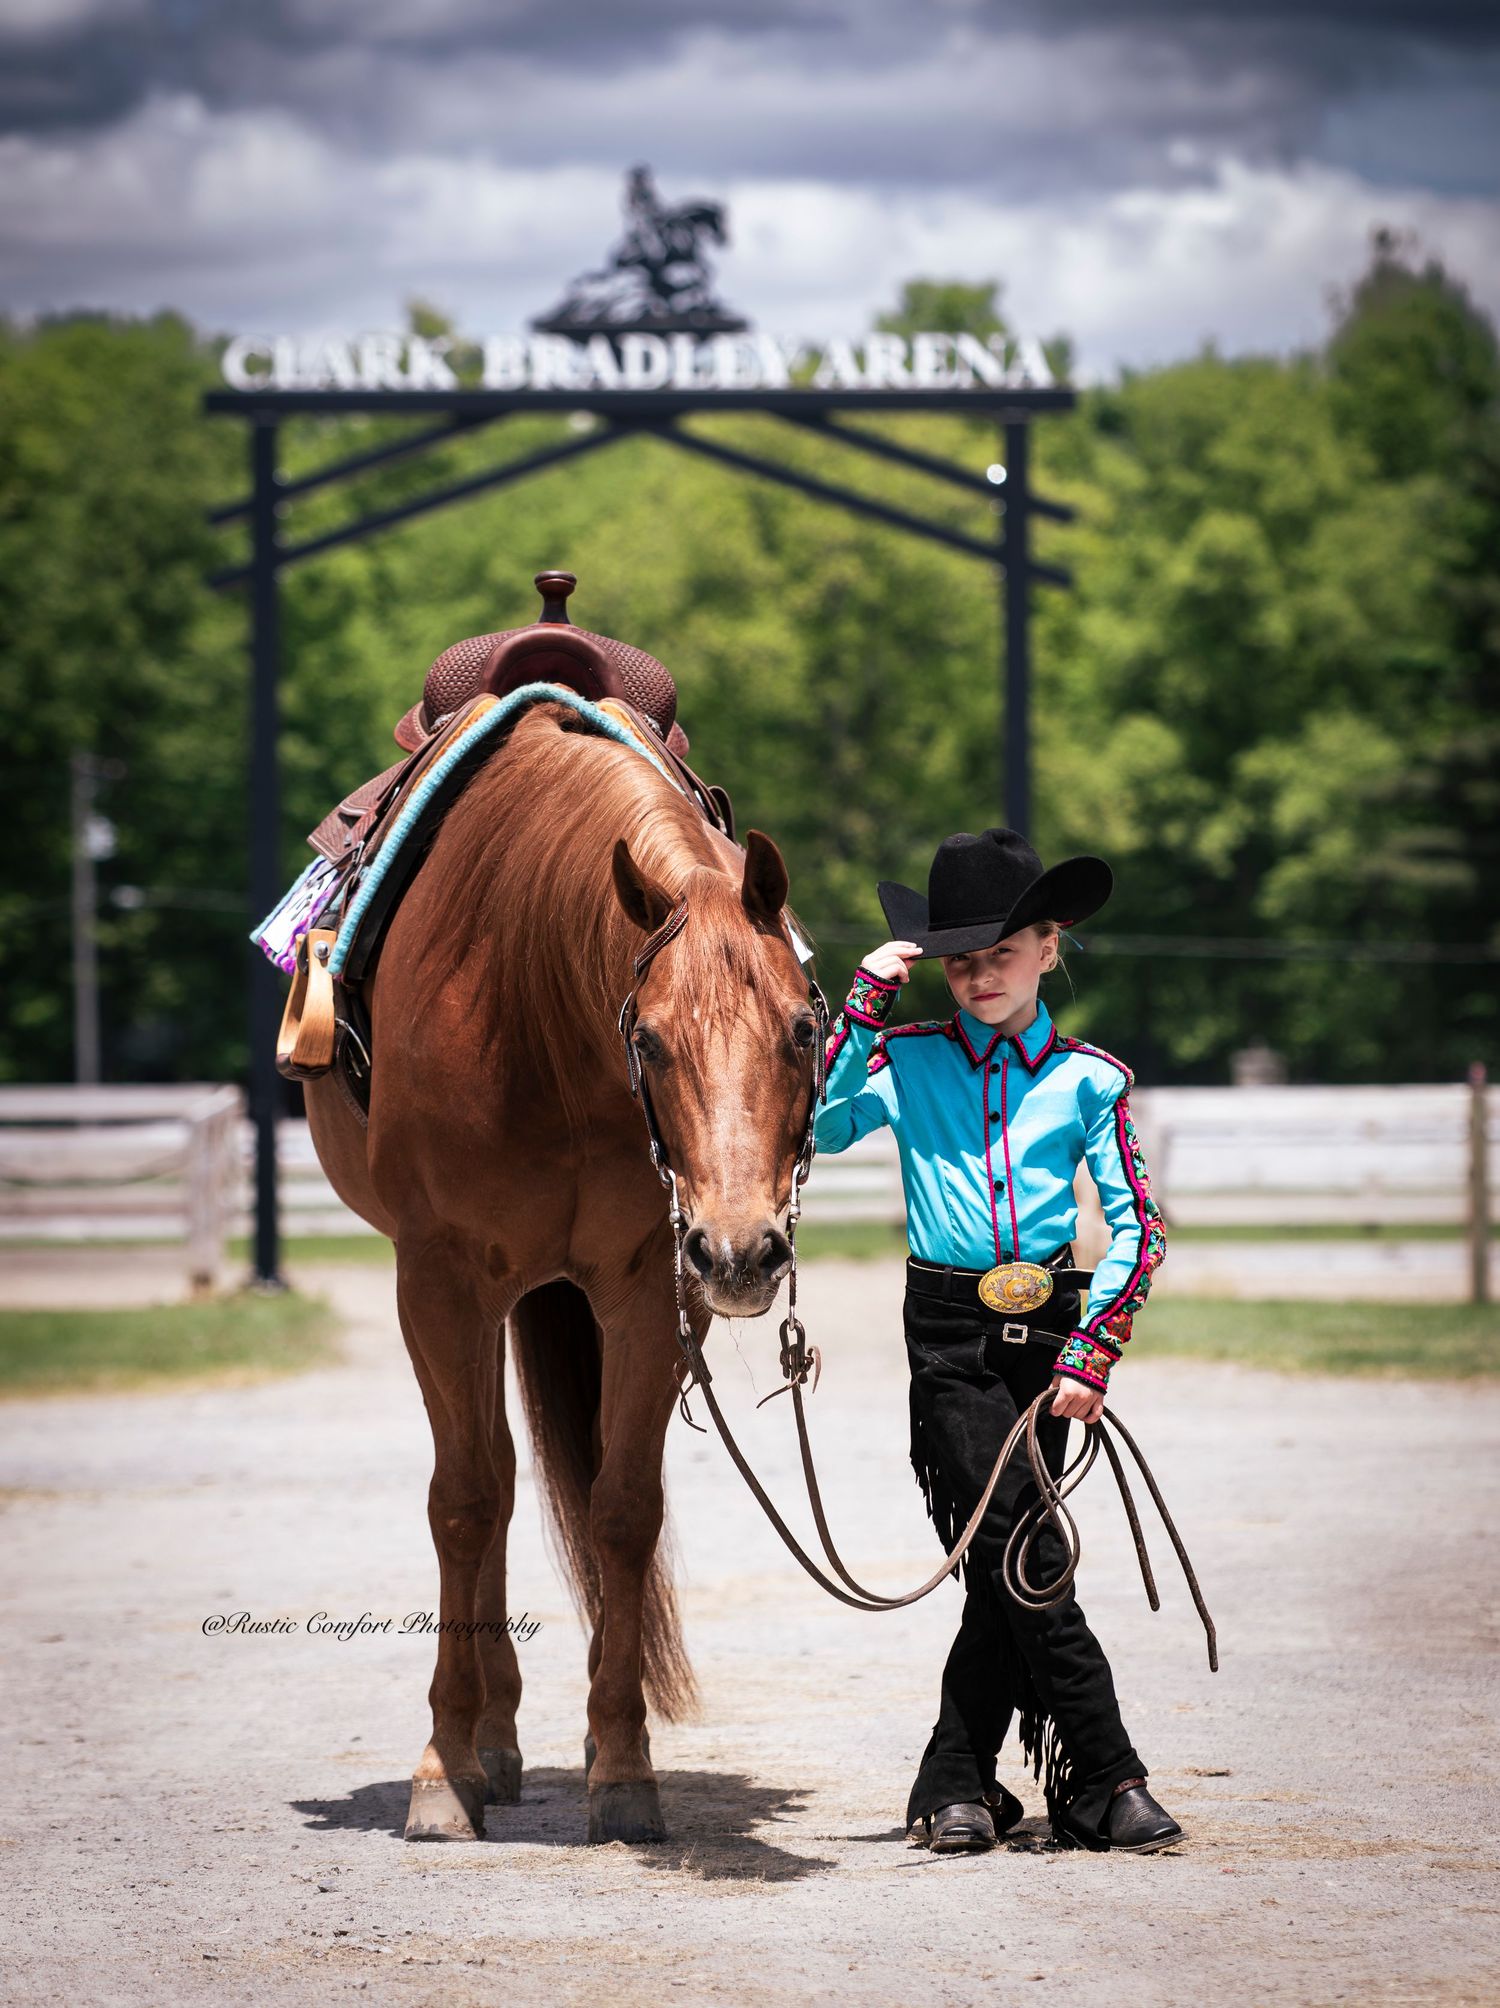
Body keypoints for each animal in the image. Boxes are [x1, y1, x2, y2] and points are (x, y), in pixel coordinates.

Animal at [303, 698, 820, 1844]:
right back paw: (489, 1746)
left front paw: (622, 1767)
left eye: (805, 1029)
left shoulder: (650, 1287)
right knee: (488, 1485)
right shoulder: (439, 1279)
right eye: (652, 1039)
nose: (742, 1249)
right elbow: (464, 1499)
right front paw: (444, 1770)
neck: (527, 1006)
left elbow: (620, 1507)